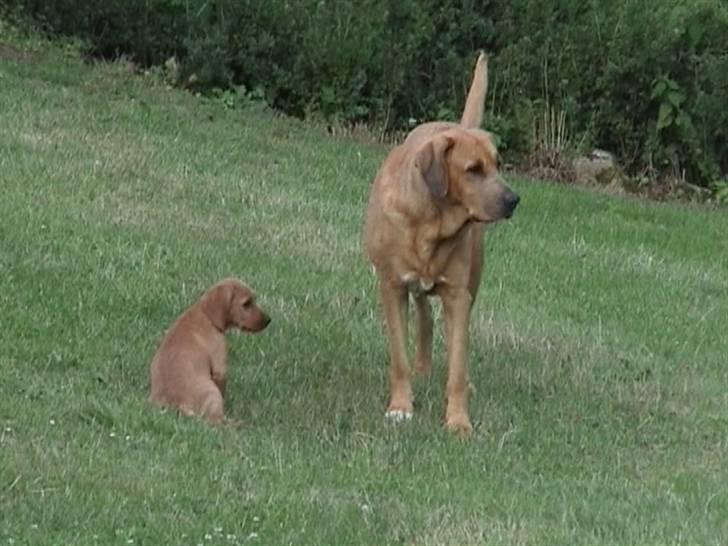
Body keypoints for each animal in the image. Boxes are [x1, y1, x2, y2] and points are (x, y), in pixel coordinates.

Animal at [148, 278, 270, 422]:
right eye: (246, 304)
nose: (268, 320)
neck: (207, 315)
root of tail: (178, 403)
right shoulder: (220, 368)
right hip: (212, 391)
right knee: (216, 421)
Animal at [362, 51, 516, 434]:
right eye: (473, 169)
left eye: (498, 164)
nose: (513, 200)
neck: (430, 224)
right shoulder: (392, 286)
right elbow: (399, 357)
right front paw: (401, 406)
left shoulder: (458, 295)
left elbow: (458, 366)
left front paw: (458, 420)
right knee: (423, 315)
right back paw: (422, 368)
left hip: (471, 281)